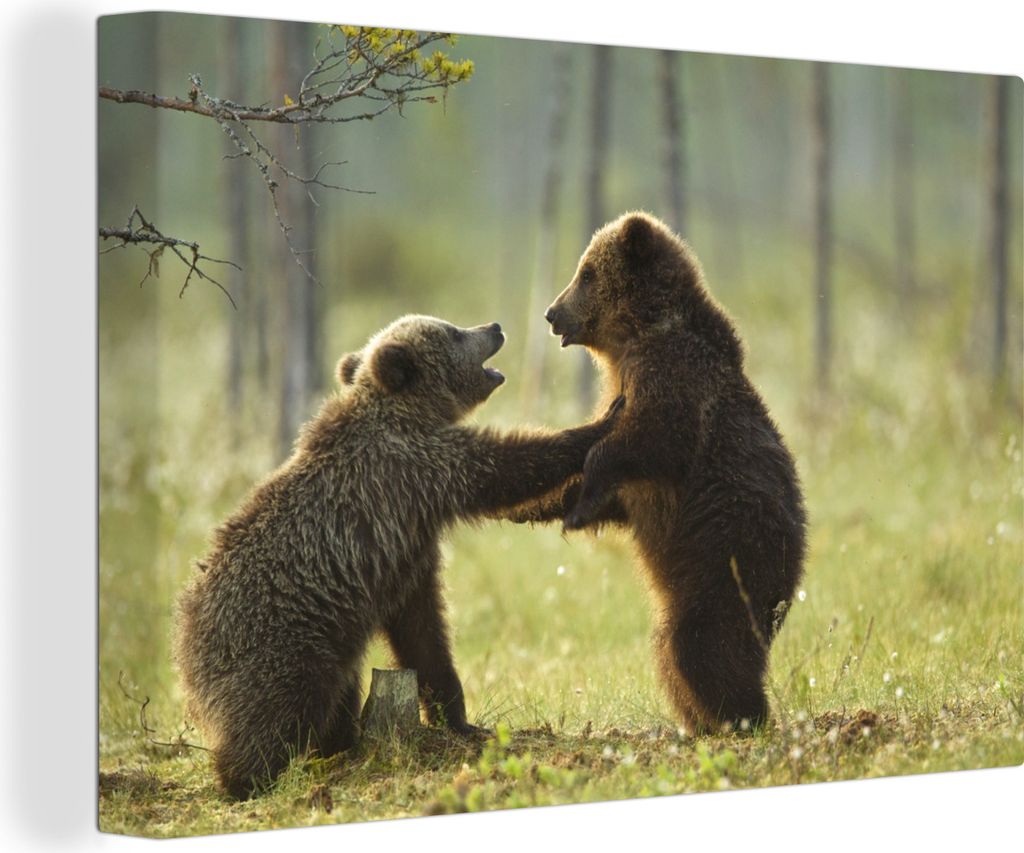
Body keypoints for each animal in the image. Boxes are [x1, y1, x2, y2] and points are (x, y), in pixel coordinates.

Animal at [173, 314, 621, 798]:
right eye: (452, 332)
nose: (494, 326)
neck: (407, 413)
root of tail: (184, 651)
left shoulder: (410, 546)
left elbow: (423, 635)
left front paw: (456, 718)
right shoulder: (414, 470)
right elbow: (504, 467)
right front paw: (600, 421)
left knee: (336, 694)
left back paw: (338, 743)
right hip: (282, 647)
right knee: (279, 712)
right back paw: (252, 777)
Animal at [533, 211, 807, 733]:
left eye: (586, 273)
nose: (552, 313)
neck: (636, 335)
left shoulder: (670, 379)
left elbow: (645, 441)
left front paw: (577, 509)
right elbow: (620, 492)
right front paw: (547, 503)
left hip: (729, 560)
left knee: (701, 646)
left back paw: (744, 717)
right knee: (669, 651)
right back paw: (700, 721)